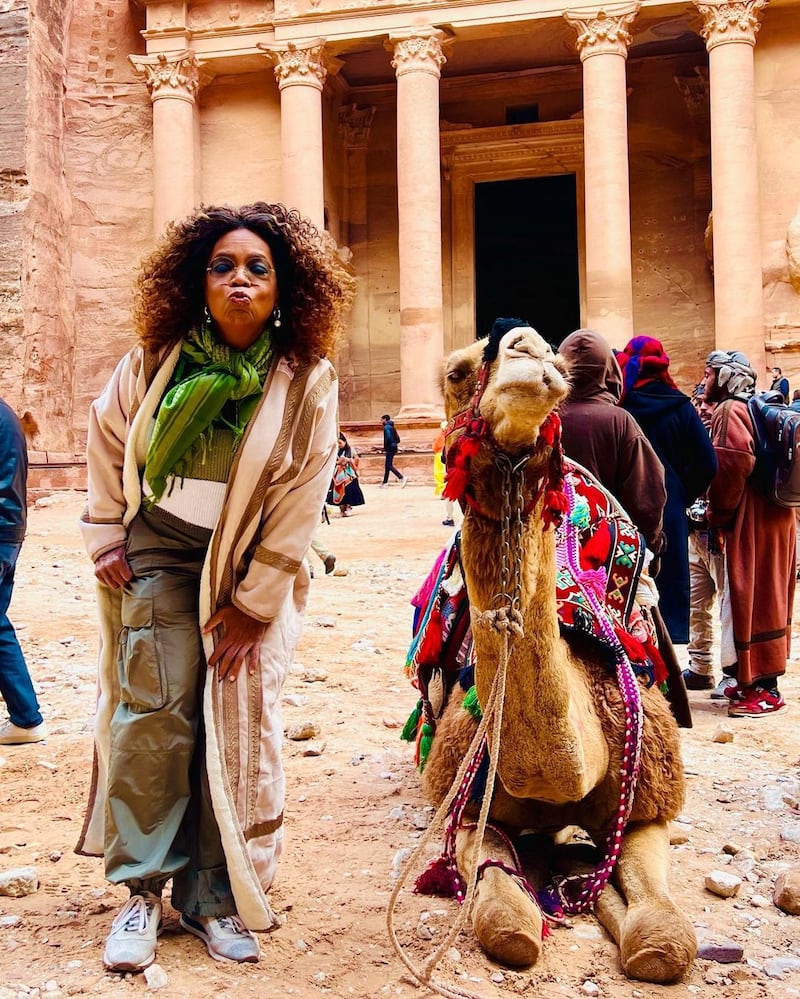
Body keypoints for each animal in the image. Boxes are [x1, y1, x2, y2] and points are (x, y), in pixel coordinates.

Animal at [416, 322, 696, 984]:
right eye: (456, 372)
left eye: (554, 360)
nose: (526, 348)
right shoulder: (469, 805)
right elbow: (506, 922)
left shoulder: (649, 803)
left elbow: (664, 937)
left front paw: (607, 902)